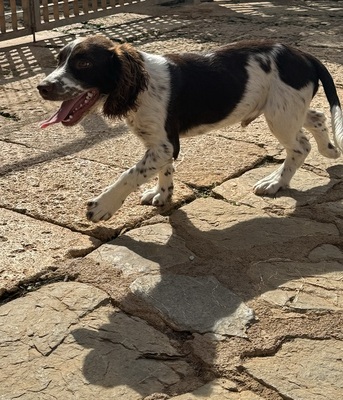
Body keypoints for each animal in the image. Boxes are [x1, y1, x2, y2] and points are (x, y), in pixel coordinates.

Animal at [38, 34, 343, 222]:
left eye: (84, 62)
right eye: (59, 60)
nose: (42, 87)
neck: (140, 84)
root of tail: (304, 55)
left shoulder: (165, 144)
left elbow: (131, 173)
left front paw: (103, 205)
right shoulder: (159, 144)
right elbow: (162, 171)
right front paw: (162, 195)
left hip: (280, 115)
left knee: (299, 146)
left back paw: (276, 182)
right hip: (286, 110)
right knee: (316, 117)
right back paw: (329, 150)